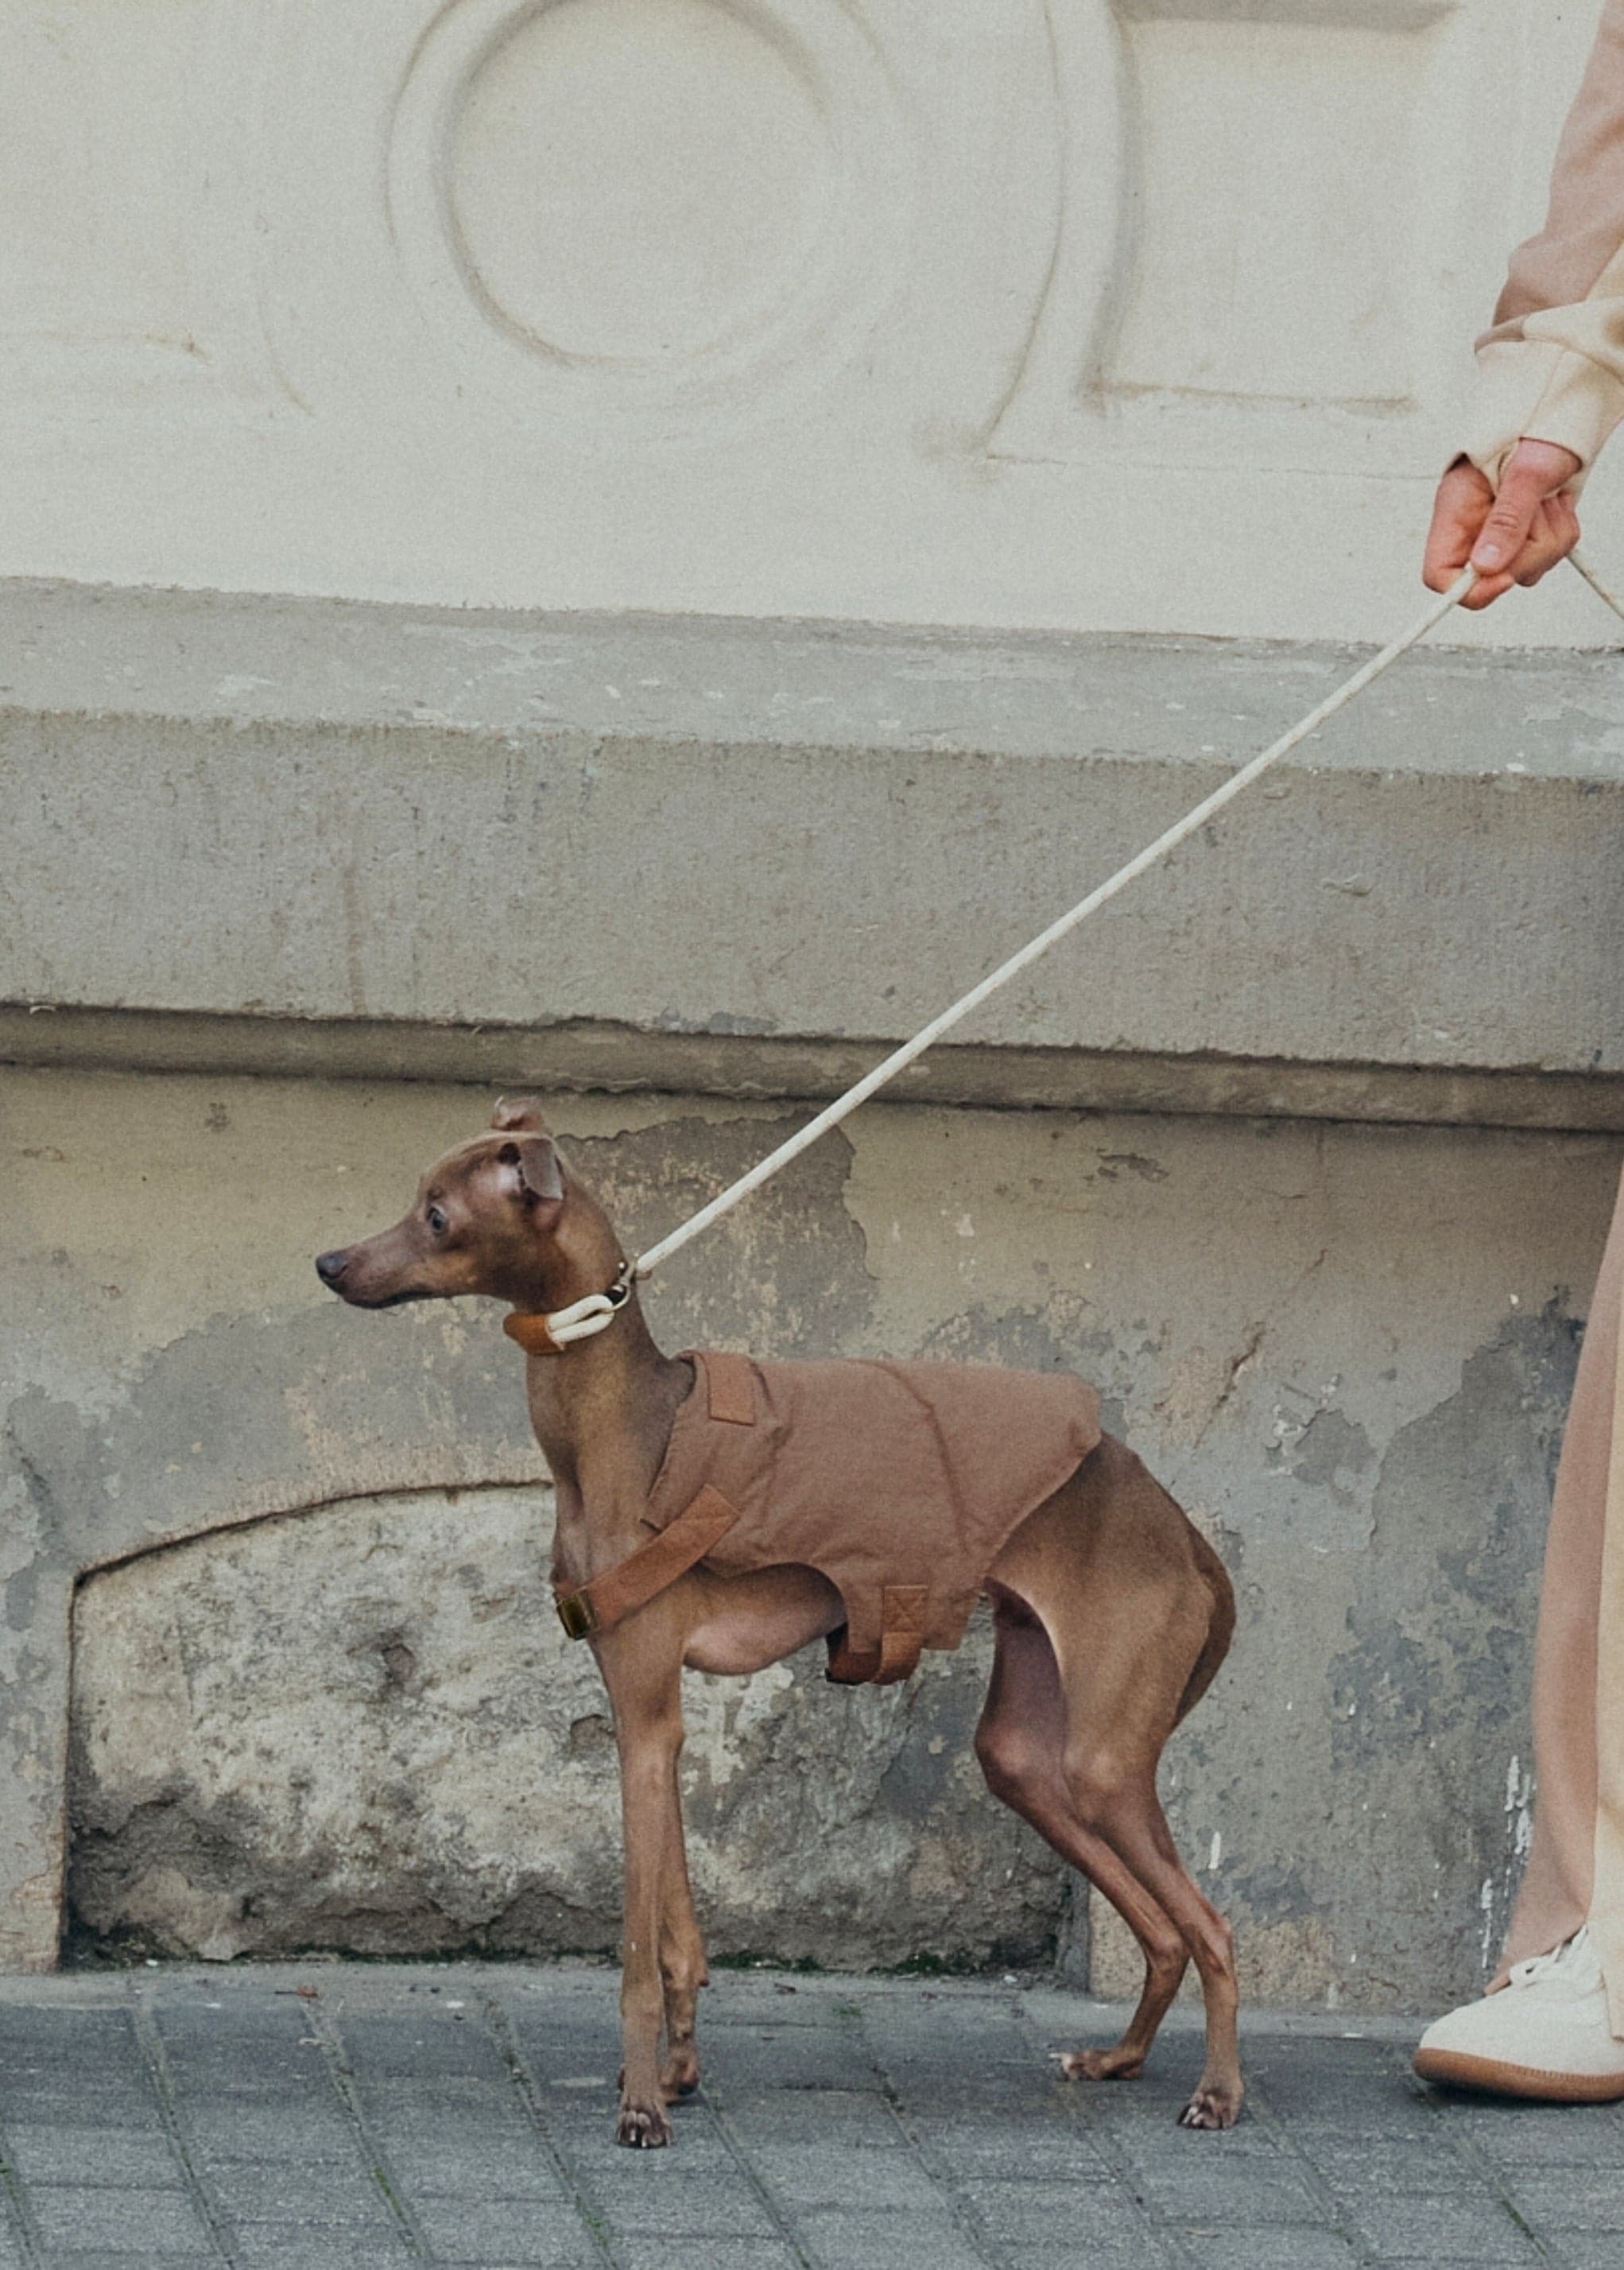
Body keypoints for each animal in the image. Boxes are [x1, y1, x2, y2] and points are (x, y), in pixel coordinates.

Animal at [317, 1108, 1234, 2133]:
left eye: (436, 1216)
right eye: (416, 1199)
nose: (328, 1262)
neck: (624, 1427)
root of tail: (1177, 1524)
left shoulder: (644, 1715)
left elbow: (634, 1953)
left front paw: (642, 2107)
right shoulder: (650, 1721)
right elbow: (678, 1931)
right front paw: (679, 2069)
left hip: (1106, 1756)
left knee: (1213, 1929)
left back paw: (1219, 2091)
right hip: (1031, 1755)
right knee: (1162, 1928)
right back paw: (1121, 2057)